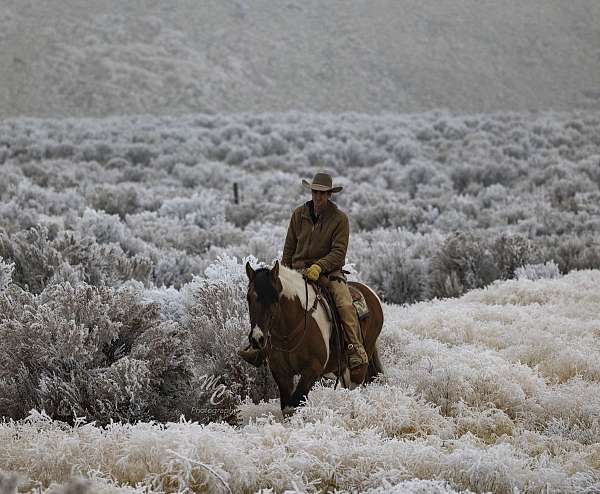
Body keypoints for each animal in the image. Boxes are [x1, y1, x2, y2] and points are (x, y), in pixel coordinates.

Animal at [245, 260, 382, 414]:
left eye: (274, 298)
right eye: (248, 297)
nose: (257, 339)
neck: (287, 333)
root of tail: (371, 293)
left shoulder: (312, 369)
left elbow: (296, 402)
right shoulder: (281, 372)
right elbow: (288, 408)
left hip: (360, 362)